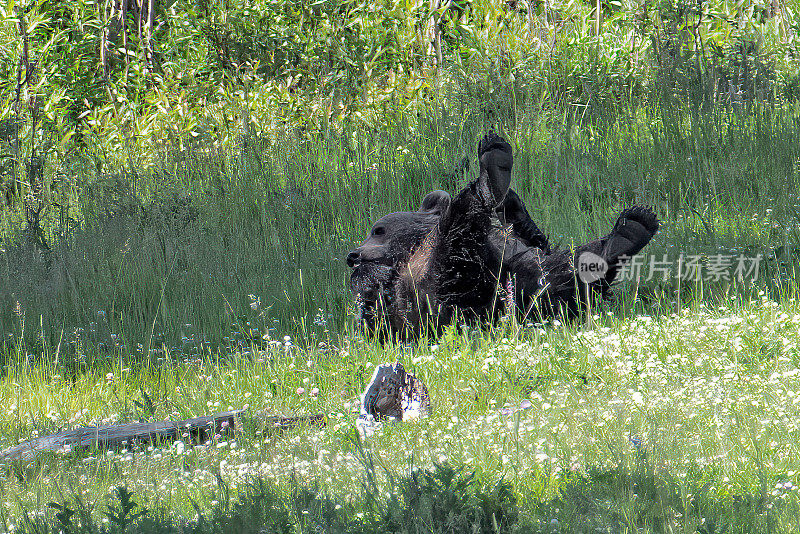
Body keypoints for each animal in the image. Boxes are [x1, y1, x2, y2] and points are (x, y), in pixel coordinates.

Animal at [346, 134, 660, 344]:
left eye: (377, 230)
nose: (353, 255)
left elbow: (540, 251)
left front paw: (512, 207)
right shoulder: (399, 295)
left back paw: (631, 229)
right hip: (448, 291)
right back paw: (493, 169)